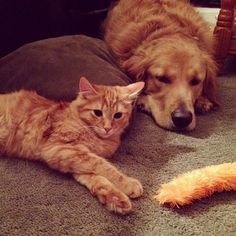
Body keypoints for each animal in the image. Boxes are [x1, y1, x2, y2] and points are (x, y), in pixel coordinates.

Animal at [0, 77, 145, 214]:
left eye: (118, 115)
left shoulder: (71, 157)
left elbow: (96, 178)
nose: (107, 128)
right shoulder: (60, 148)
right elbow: (104, 166)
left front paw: (115, 198)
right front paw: (128, 183)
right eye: (97, 113)